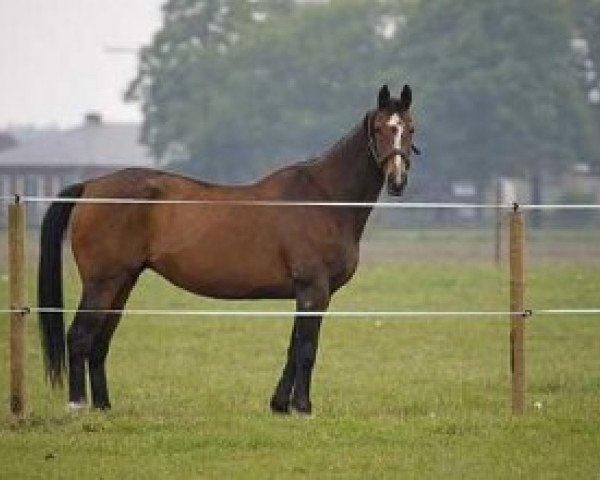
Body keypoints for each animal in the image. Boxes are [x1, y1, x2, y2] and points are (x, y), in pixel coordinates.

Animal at [38, 84, 418, 414]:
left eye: (410, 128)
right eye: (381, 129)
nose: (398, 181)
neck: (324, 199)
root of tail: (91, 186)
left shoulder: (307, 292)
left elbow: (293, 347)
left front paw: (280, 405)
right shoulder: (314, 288)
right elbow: (307, 348)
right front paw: (302, 407)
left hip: (123, 282)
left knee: (101, 341)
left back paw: (103, 407)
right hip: (102, 283)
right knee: (80, 337)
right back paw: (78, 406)